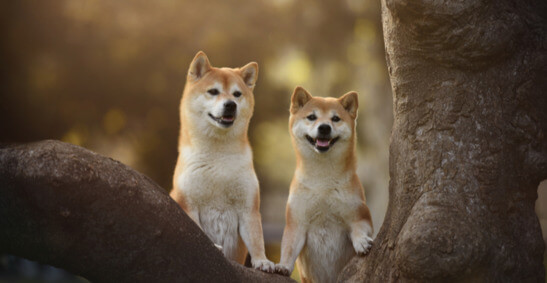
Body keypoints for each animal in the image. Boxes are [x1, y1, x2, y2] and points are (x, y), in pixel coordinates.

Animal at [170, 51, 274, 272]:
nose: (230, 105)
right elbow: (199, 230)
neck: (218, 156)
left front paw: (262, 261)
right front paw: (215, 246)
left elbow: (256, 239)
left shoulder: (248, 208)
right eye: (213, 91)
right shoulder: (188, 204)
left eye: (236, 94)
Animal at [276, 87, 374, 282]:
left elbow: (359, 228)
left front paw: (361, 242)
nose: (324, 127)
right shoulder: (296, 223)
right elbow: (289, 249)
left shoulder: (360, 214)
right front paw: (282, 266)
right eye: (312, 117)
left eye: (335, 118)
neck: (322, 183)